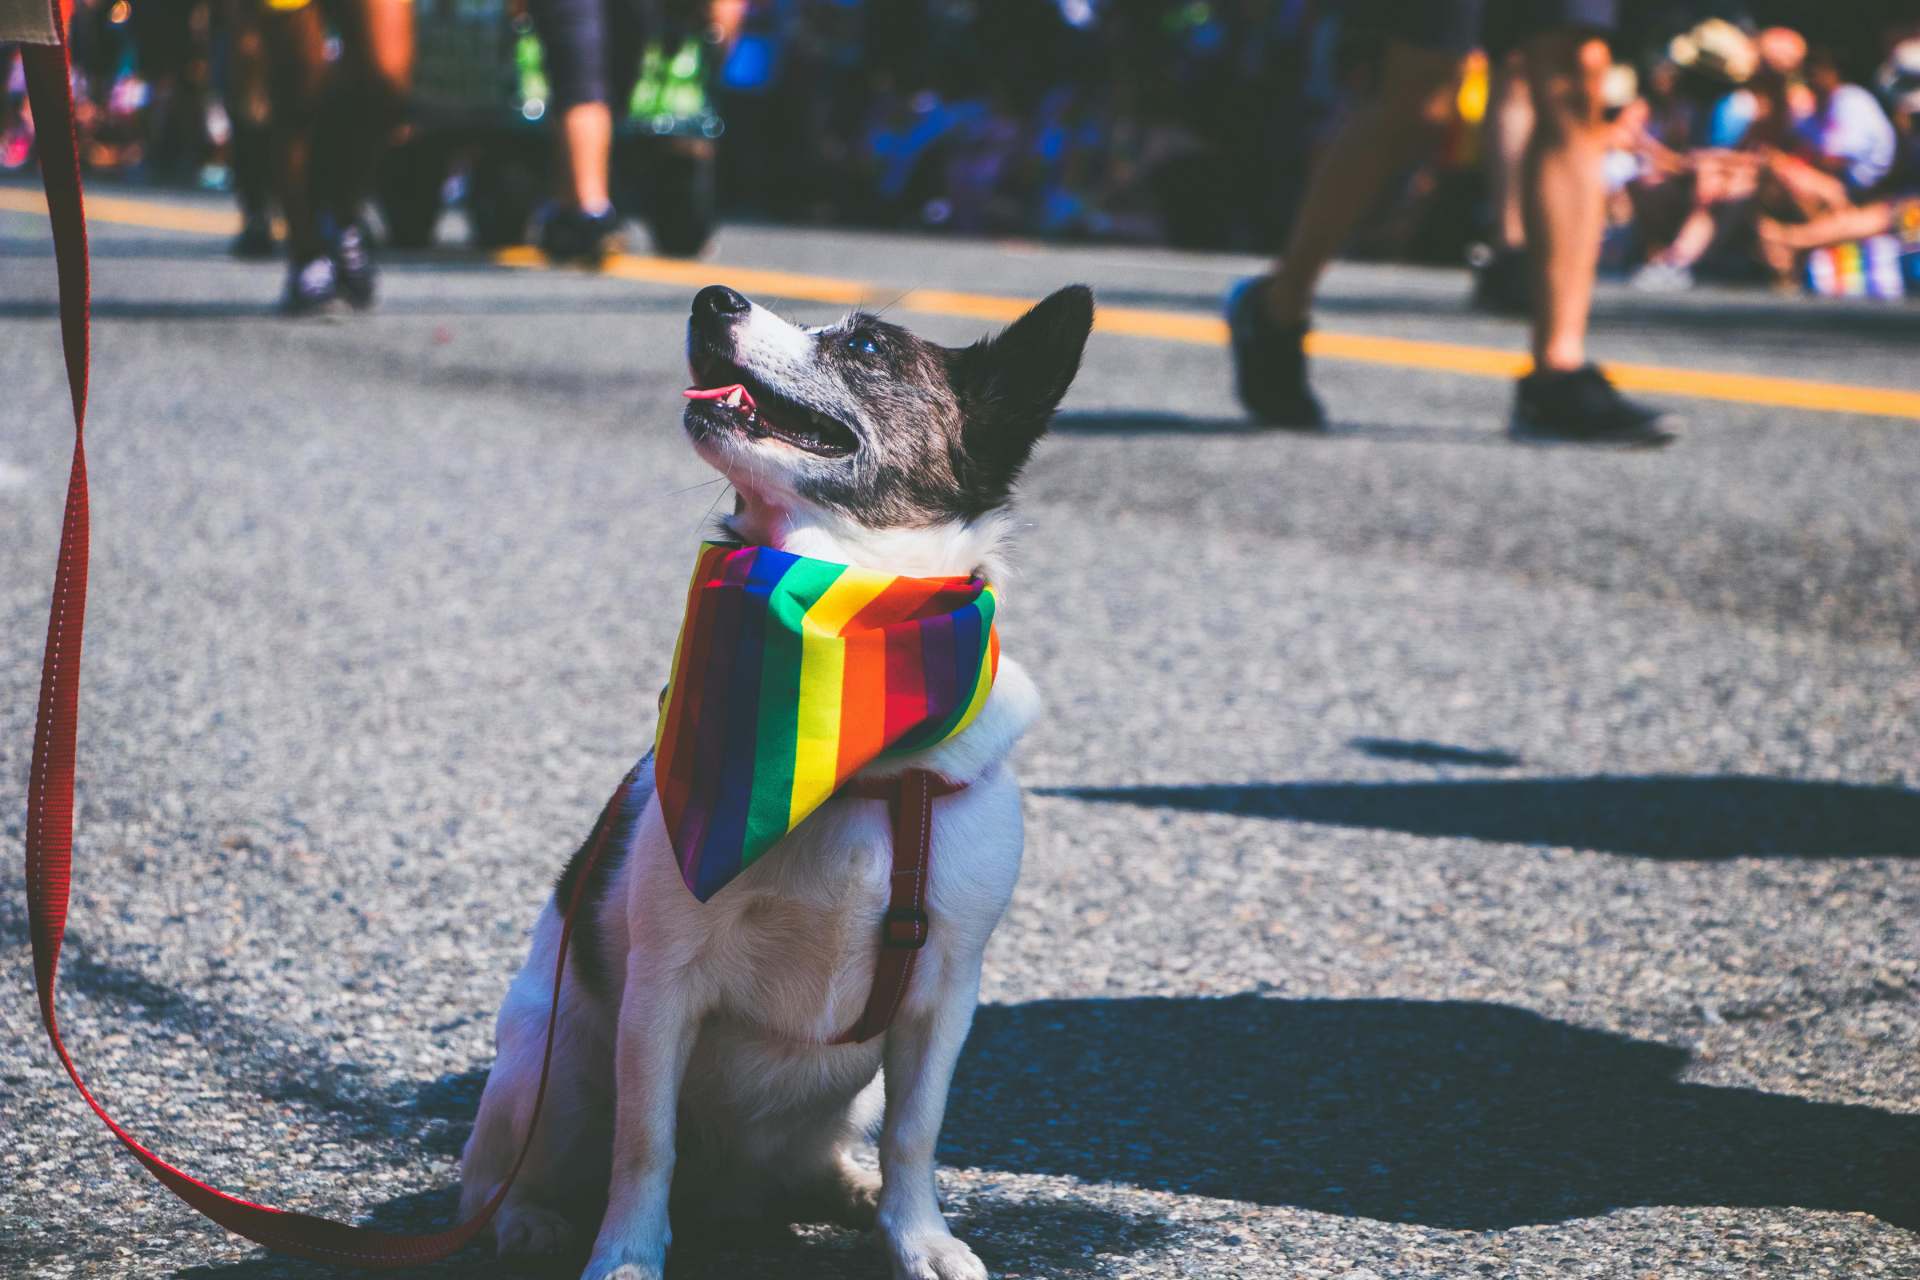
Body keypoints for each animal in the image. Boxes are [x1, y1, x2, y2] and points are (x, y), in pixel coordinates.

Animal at [456, 282, 1098, 1280]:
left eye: (866, 346)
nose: (710, 297)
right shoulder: (662, 992)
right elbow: (644, 1141)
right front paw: (628, 1255)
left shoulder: (942, 998)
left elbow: (916, 1134)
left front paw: (918, 1236)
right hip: (547, 1065)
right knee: (500, 1175)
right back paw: (528, 1222)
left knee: (834, 1149)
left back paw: (849, 1190)